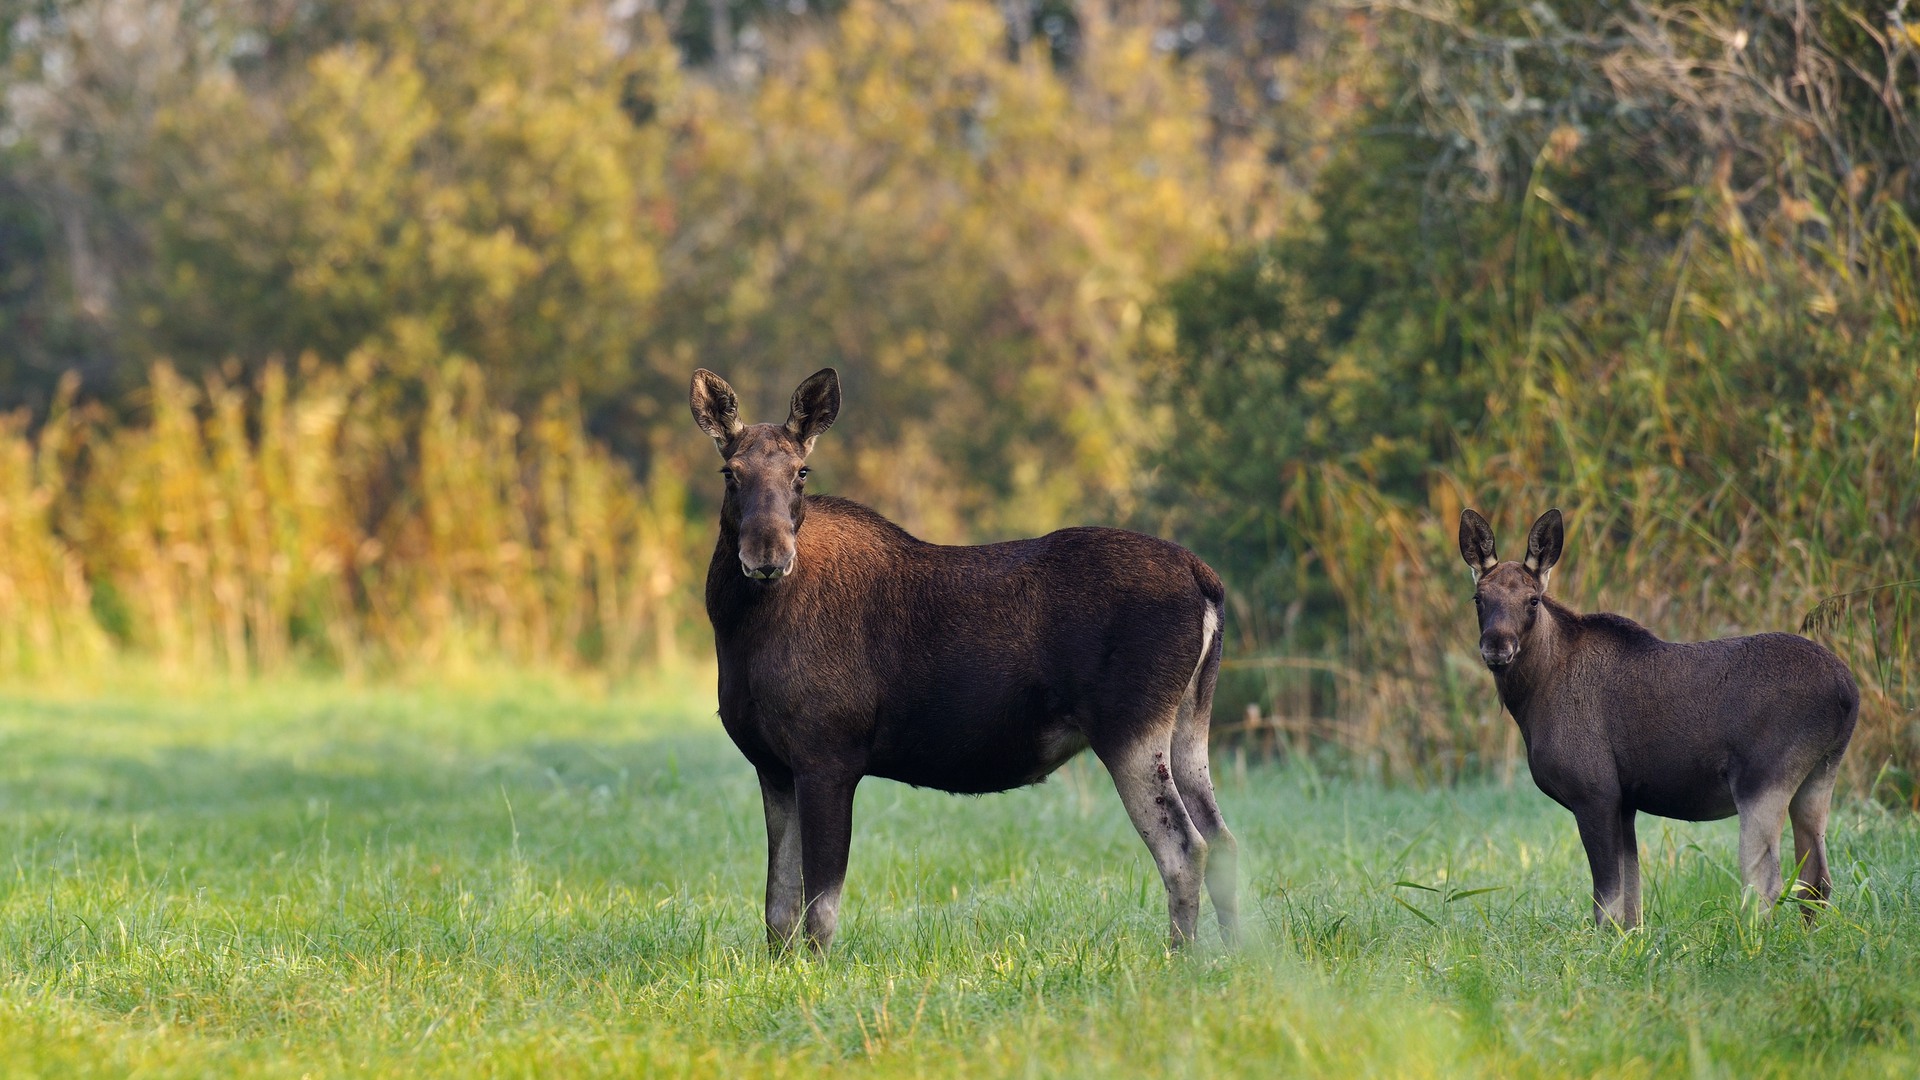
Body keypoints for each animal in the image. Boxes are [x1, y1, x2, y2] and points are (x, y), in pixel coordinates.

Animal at [698, 365, 1236, 945]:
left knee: (1185, 850)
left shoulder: (829, 757)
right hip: (1188, 726)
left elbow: (819, 911)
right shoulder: (773, 765)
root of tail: (1206, 581)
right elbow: (778, 911)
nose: (768, 555)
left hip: (1130, 729)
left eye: (801, 471)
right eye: (730, 472)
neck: (738, 634)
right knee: (1223, 839)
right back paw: (1240, 952)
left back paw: (1183, 955)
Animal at [1459, 507, 1850, 926]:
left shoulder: (1595, 792)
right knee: (1816, 880)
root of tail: (1849, 692)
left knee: (1766, 883)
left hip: (1762, 779)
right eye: (1478, 598)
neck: (1531, 701)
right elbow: (1632, 906)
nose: (1497, 646)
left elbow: (1607, 903)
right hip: (1819, 775)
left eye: (1533, 600)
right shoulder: (1625, 802)